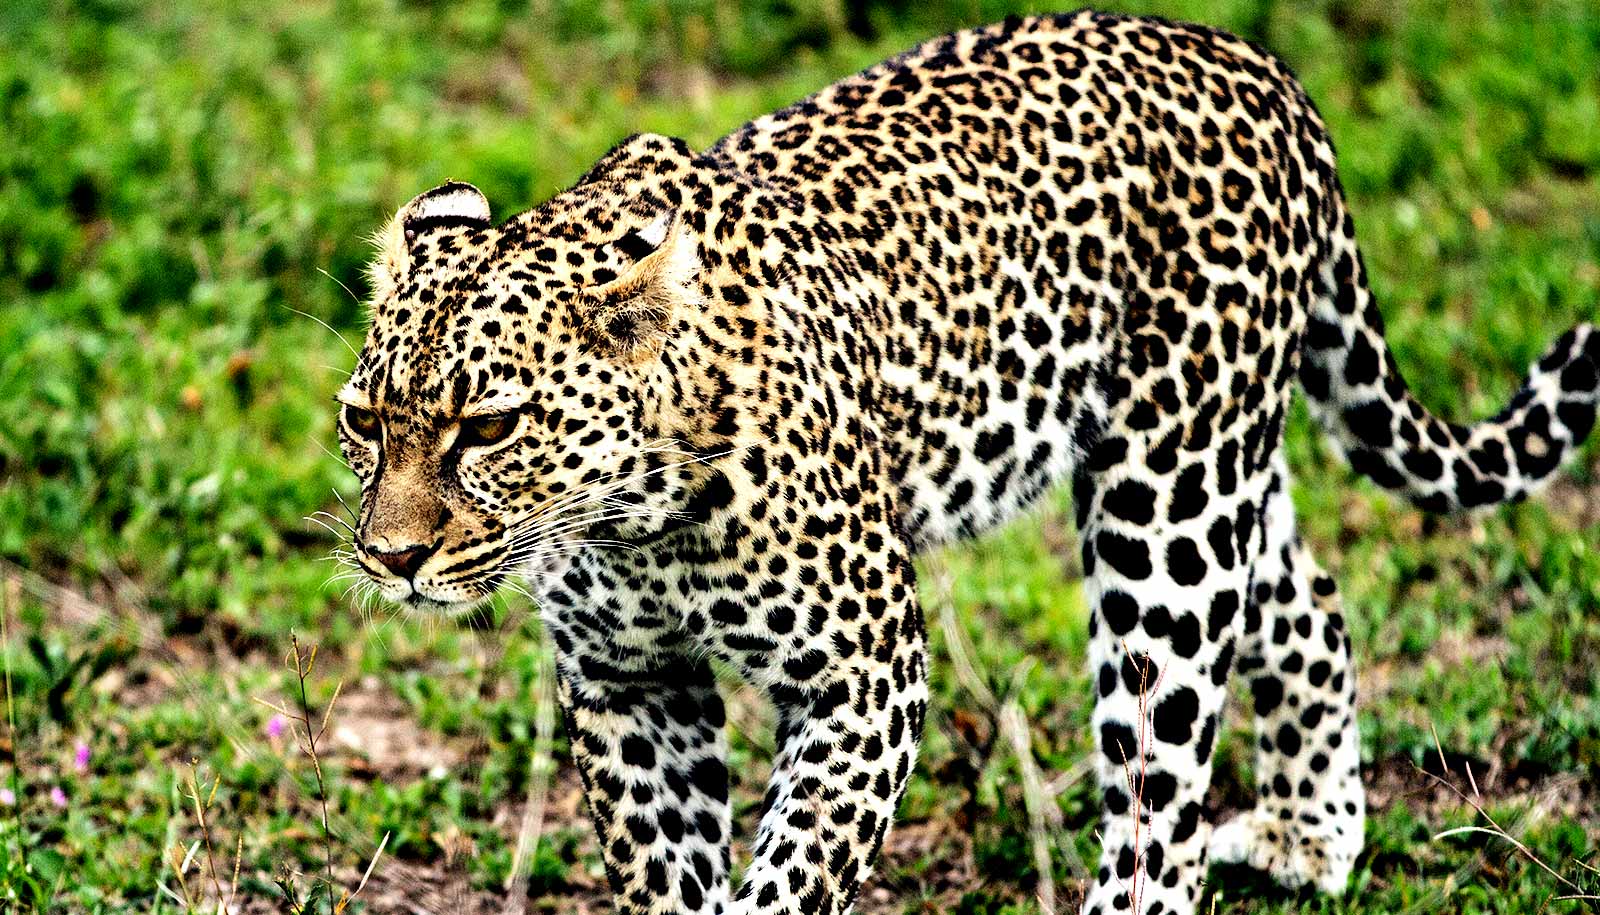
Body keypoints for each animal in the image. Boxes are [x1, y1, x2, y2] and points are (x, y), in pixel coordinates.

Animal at [331, 8, 1593, 915]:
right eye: (362, 423)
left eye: (487, 428)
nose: (390, 560)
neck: (634, 518)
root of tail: (1259, 67)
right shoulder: (628, 684)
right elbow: (670, 874)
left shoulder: (865, 676)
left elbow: (791, 878)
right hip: (1213, 462)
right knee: (1306, 599)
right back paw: (1307, 838)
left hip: (1163, 509)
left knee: (1163, 781)